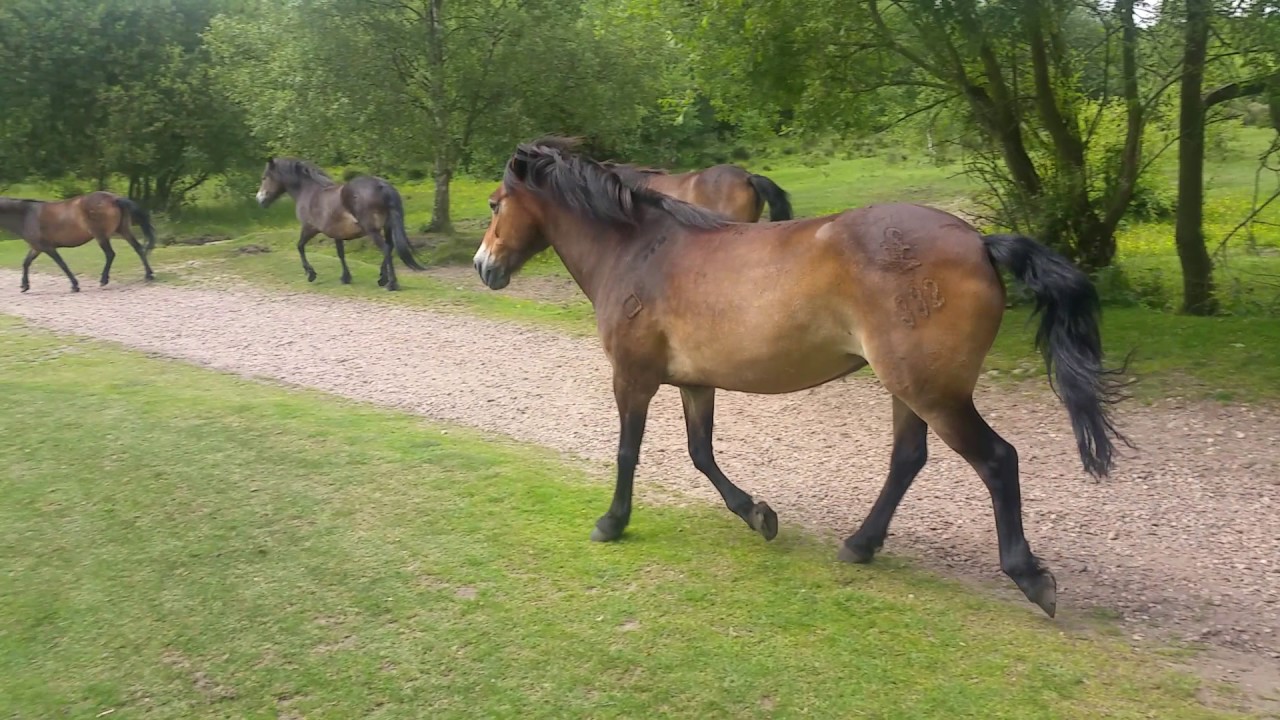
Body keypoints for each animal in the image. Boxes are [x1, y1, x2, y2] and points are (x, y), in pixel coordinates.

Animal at [0, 191, 156, 293]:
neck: (27, 215)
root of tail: (114, 198)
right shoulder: (37, 247)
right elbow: (26, 263)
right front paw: (24, 286)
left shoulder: (47, 247)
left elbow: (62, 264)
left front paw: (75, 286)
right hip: (123, 230)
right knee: (138, 248)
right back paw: (148, 275)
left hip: (101, 235)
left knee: (110, 254)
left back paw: (103, 280)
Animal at [256, 158, 426, 290]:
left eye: (265, 177)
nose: (260, 199)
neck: (309, 192)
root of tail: (381, 185)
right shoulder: (336, 233)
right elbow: (340, 253)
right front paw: (345, 277)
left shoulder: (310, 228)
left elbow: (300, 246)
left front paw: (310, 274)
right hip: (387, 227)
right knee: (389, 247)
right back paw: (383, 278)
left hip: (372, 230)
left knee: (386, 249)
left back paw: (391, 283)